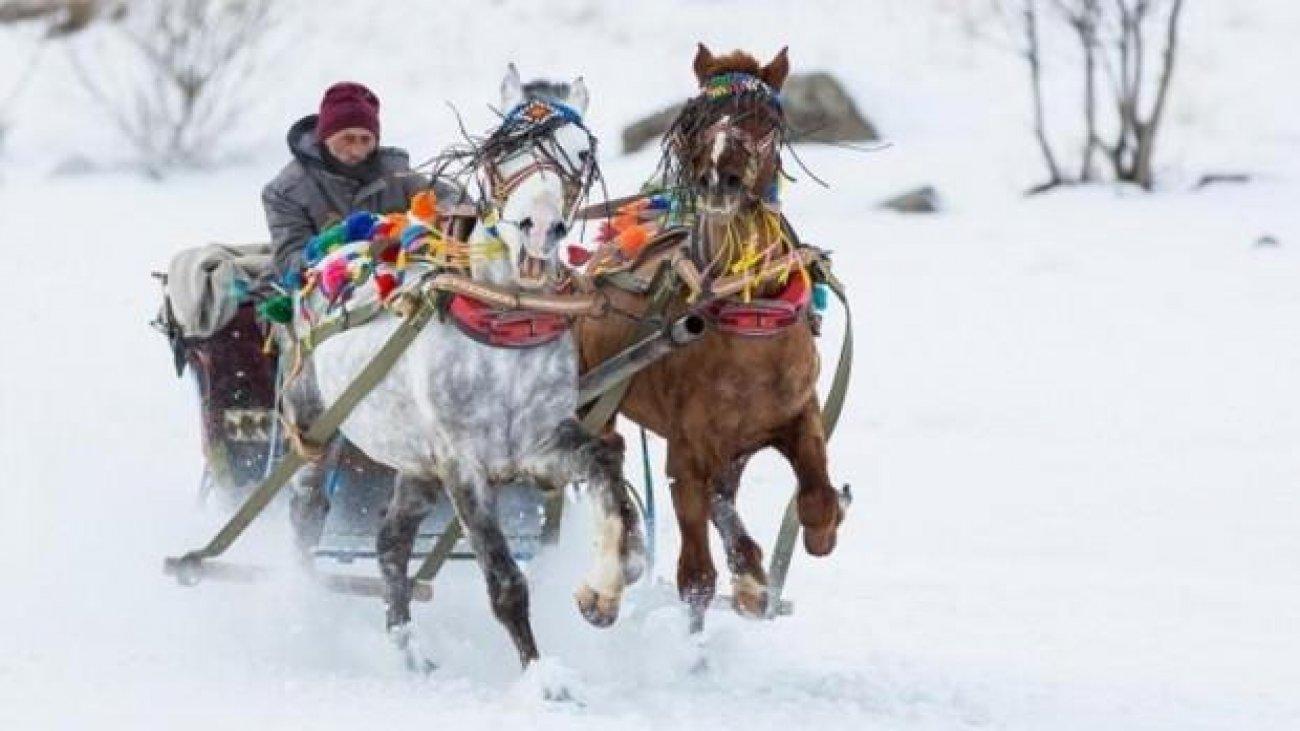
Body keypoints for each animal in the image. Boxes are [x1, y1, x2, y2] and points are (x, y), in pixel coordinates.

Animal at [577, 42, 842, 629]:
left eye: (765, 120)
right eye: (696, 119)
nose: (721, 178)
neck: (747, 311)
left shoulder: (798, 413)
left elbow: (816, 495)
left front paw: (810, 541)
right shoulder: (688, 448)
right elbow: (695, 577)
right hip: (594, 396)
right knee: (606, 466)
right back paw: (606, 585)